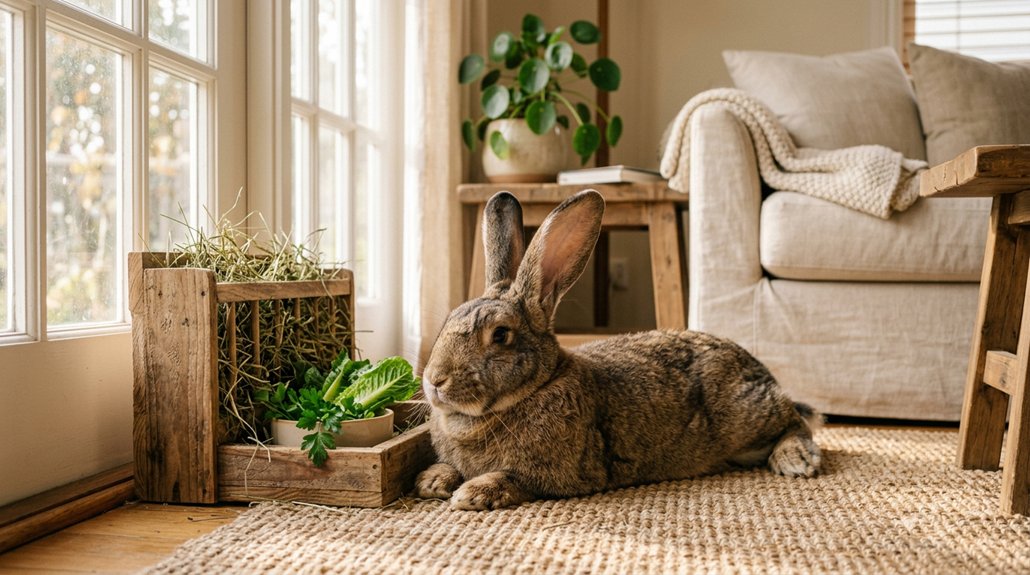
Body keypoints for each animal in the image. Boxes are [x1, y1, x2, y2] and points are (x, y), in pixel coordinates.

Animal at [415, 189, 821, 510]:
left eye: (500, 335)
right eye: (448, 319)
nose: (434, 381)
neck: (537, 387)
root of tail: (757, 369)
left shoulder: (558, 475)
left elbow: (513, 479)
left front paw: (473, 494)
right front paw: (431, 481)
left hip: (747, 415)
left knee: (796, 421)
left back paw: (796, 459)